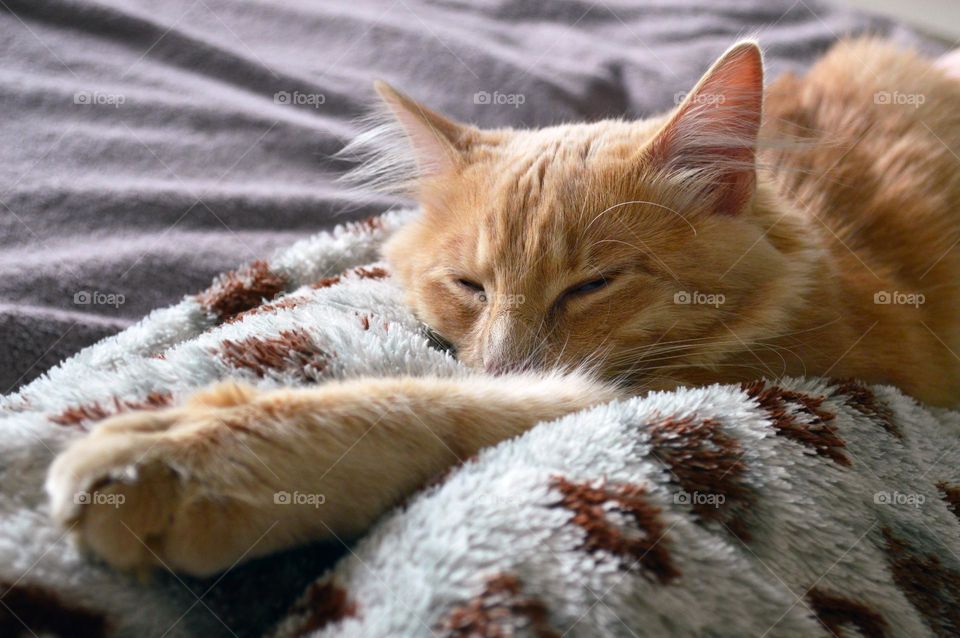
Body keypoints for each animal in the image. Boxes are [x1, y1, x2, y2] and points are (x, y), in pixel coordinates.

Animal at [48, 40, 960, 580]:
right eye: (470, 285)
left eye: (591, 285)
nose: (506, 356)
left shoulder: (767, 365)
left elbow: (434, 408)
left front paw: (185, 453)